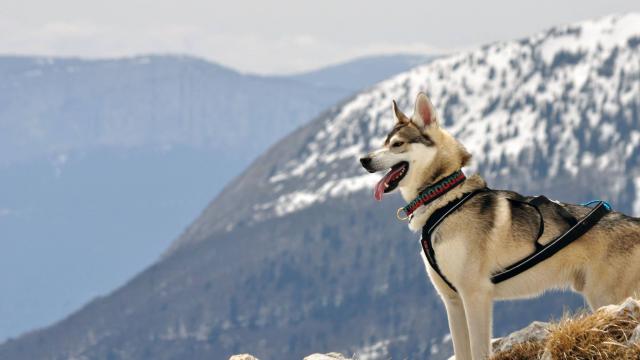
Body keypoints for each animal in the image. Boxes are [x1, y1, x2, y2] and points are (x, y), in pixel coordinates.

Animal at [358, 92, 640, 360]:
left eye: (397, 144)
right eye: (384, 142)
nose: (363, 159)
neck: (443, 200)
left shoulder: (475, 295)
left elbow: (478, 350)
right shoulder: (452, 301)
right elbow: (462, 352)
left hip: (607, 298)